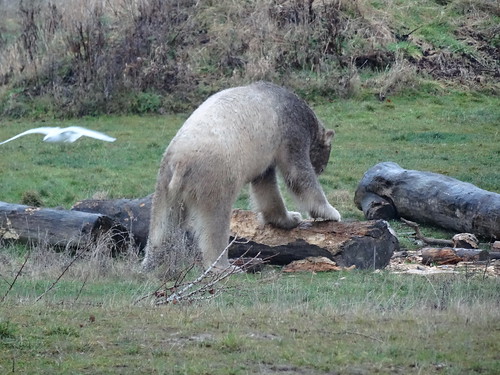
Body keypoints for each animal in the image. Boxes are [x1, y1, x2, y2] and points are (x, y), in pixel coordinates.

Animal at [143, 81, 342, 272]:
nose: (321, 169)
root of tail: (180, 163)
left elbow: (265, 185)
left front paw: (291, 218)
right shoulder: (292, 130)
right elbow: (298, 174)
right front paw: (330, 212)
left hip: (165, 179)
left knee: (162, 220)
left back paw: (151, 261)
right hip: (215, 175)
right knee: (216, 219)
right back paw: (223, 266)